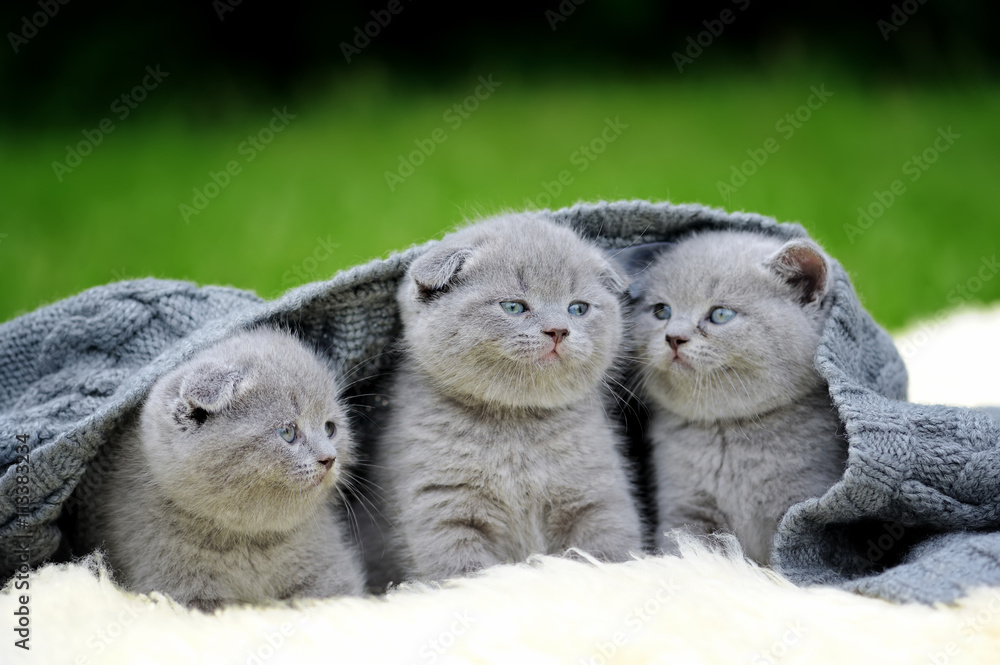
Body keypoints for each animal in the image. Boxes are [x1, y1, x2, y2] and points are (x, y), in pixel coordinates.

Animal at [94, 326, 366, 608]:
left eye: (330, 428)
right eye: (288, 432)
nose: (329, 458)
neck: (248, 542)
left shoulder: (329, 567)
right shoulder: (173, 581)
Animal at [374, 215, 640, 584]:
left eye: (578, 308)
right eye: (513, 307)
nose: (558, 330)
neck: (516, 426)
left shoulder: (598, 497)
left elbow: (608, 550)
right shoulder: (441, 507)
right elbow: (463, 574)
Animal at [628, 231, 848, 564]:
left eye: (720, 314)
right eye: (661, 311)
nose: (674, 337)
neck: (729, 434)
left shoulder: (801, 510)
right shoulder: (685, 508)